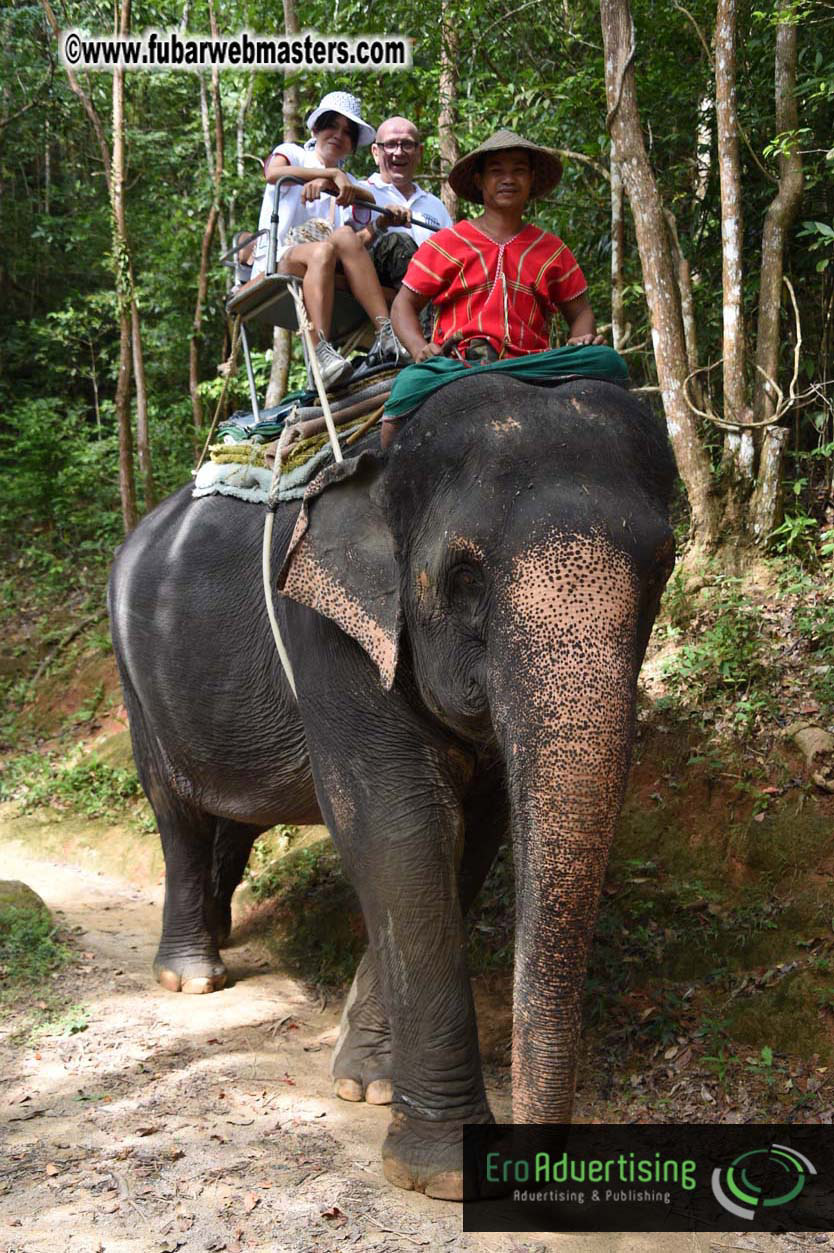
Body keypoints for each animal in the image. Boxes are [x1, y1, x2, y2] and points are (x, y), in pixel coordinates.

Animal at [108, 373, 676, 1200]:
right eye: (464, 577)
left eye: (662, 568)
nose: (539, 1167)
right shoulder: (326, 629)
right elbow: (398, 826)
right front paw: (440, 1172)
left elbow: (470, 836)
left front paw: (368, 1083)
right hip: (135, 678)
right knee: (177, 811)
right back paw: (193, 978)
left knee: (233, 822)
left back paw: (219, 935)